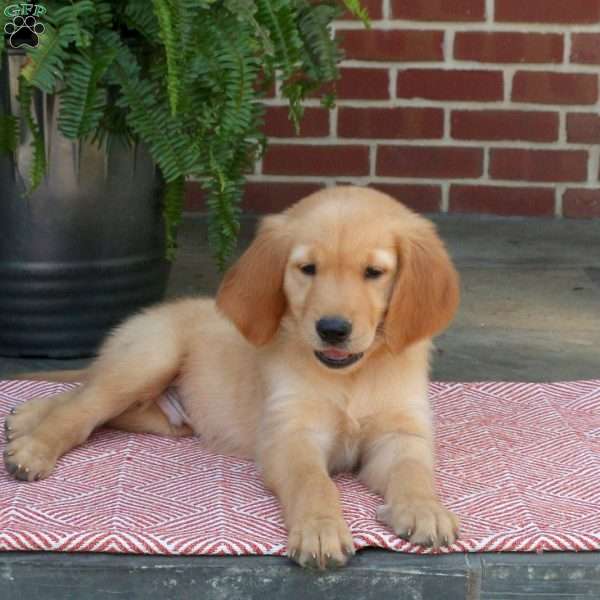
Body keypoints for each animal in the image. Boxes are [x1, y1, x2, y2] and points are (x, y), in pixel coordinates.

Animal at [3, 185, 460, 568]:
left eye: (373, 273)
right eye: (308, 269)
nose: (332, 329)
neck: (351, 377)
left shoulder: (401, 434)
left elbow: (414, 473)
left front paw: (425, 510)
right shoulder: (289, 436)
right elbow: (313, 482)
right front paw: (320, 529)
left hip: (167, 419)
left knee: (95, 403)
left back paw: (25, 416)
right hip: (150, 358)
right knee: (84, 407)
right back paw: (32, 445)